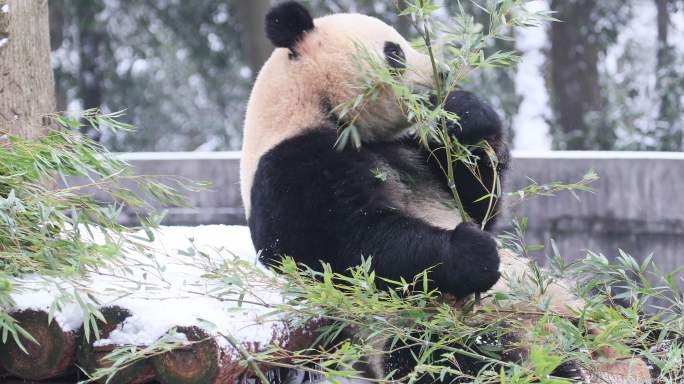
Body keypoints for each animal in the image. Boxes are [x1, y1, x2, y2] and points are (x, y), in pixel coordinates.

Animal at [242, 1, 652, 382]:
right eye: (394, 52)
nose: (442, 73)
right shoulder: (288, 170)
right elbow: (352, 249)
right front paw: (473, 252)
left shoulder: (413, 154)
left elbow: (478, 201)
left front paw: (466, 112)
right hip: (435, 326)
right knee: (460, 358)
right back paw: (555, 367)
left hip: (575, 296)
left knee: (634, 314)